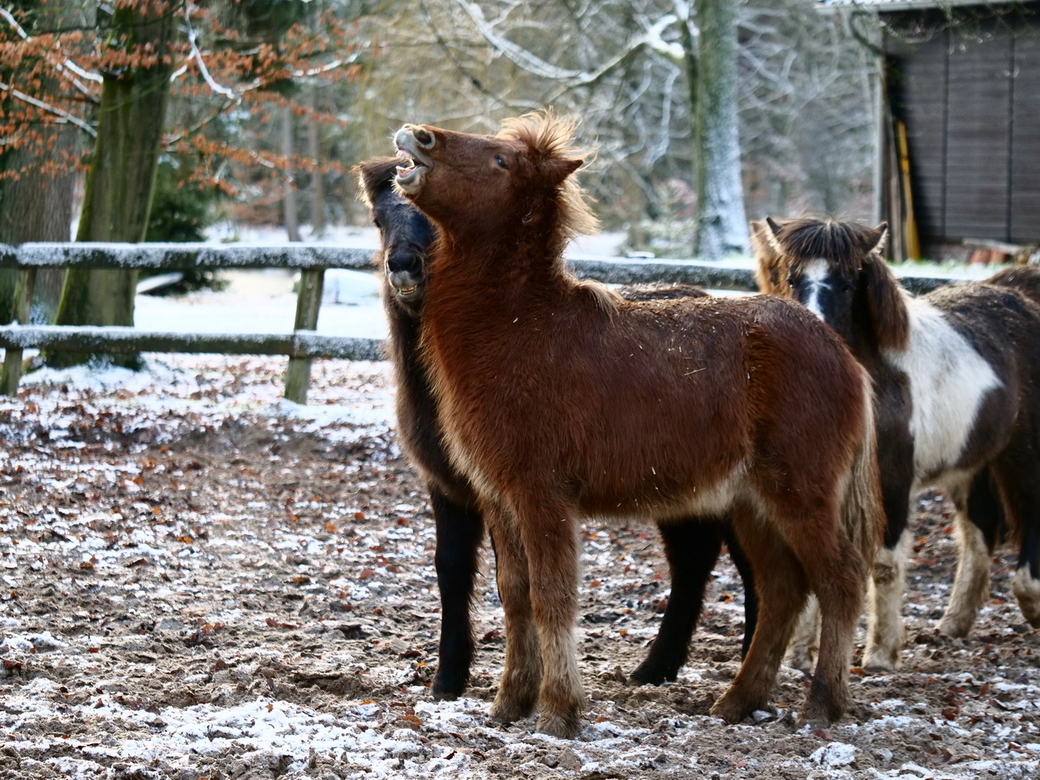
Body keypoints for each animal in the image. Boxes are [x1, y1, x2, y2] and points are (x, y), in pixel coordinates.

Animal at [351, 157, 757, 694]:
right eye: (379, 220)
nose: (403, 266)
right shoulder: (446, 486)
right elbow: (451, 570)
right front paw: (448, 678)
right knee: (695, 561)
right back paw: (656, 670)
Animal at [393, 111, 881, 740]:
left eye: (501, 161)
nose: (418, 135)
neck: (522, 328)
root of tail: (842, 353)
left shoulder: (541, 495)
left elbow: (552, 595)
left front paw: (558, 712)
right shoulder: (500, 498)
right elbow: (514, 595)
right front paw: (507, 705)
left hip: (800, 494)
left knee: (840, 581)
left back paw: (821, 706)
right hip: (751, 505)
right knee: (782, 592)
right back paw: (735, 703)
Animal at [752, 218, 1040, 673]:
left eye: (848, 282)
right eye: (793, 278)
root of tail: (1023, 298)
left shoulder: (893, 481)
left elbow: (885, 565)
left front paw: (881, 653)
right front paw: (800, 654)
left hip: (1022, 455)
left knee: (1029, 515)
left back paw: (1030, 604)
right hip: (971, 463)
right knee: (980, 530)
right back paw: (954, 622)